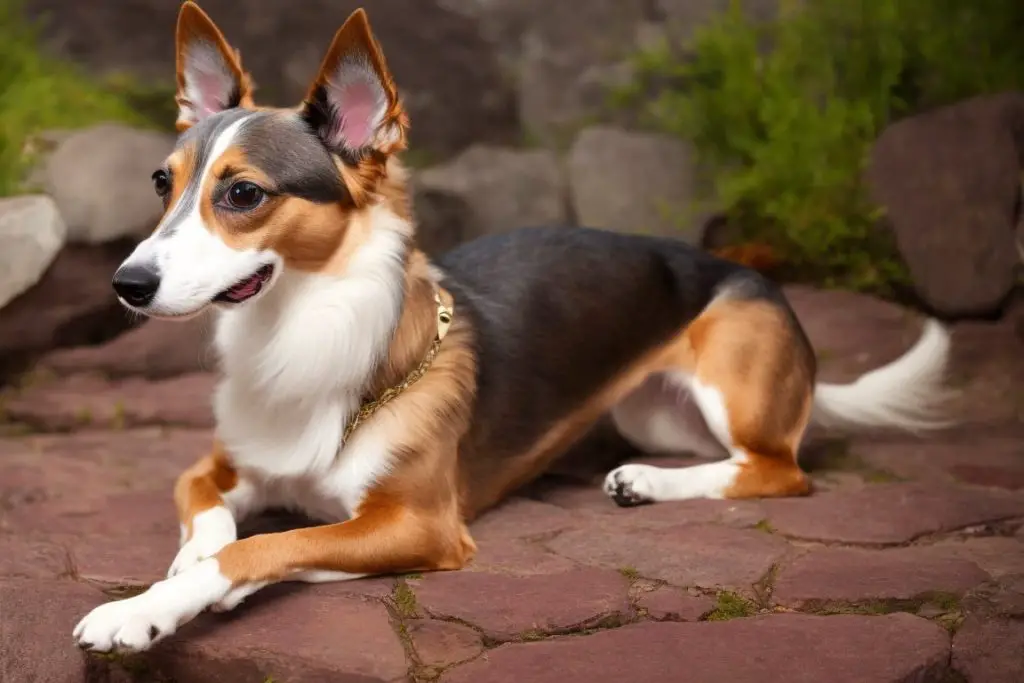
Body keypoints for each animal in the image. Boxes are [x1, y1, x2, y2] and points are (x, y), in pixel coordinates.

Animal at [72, 2, 950, 655]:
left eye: (244, 194)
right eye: (162, 183)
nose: (127, 284)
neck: (302, 331)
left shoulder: (422, 525)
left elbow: (261, 547)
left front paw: (149, 606)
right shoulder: (221, 466)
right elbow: (212, 517)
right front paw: (182, 566)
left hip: (730, 381)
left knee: (777, 468)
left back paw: (652, 481)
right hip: (655, 413)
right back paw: (645, 479)